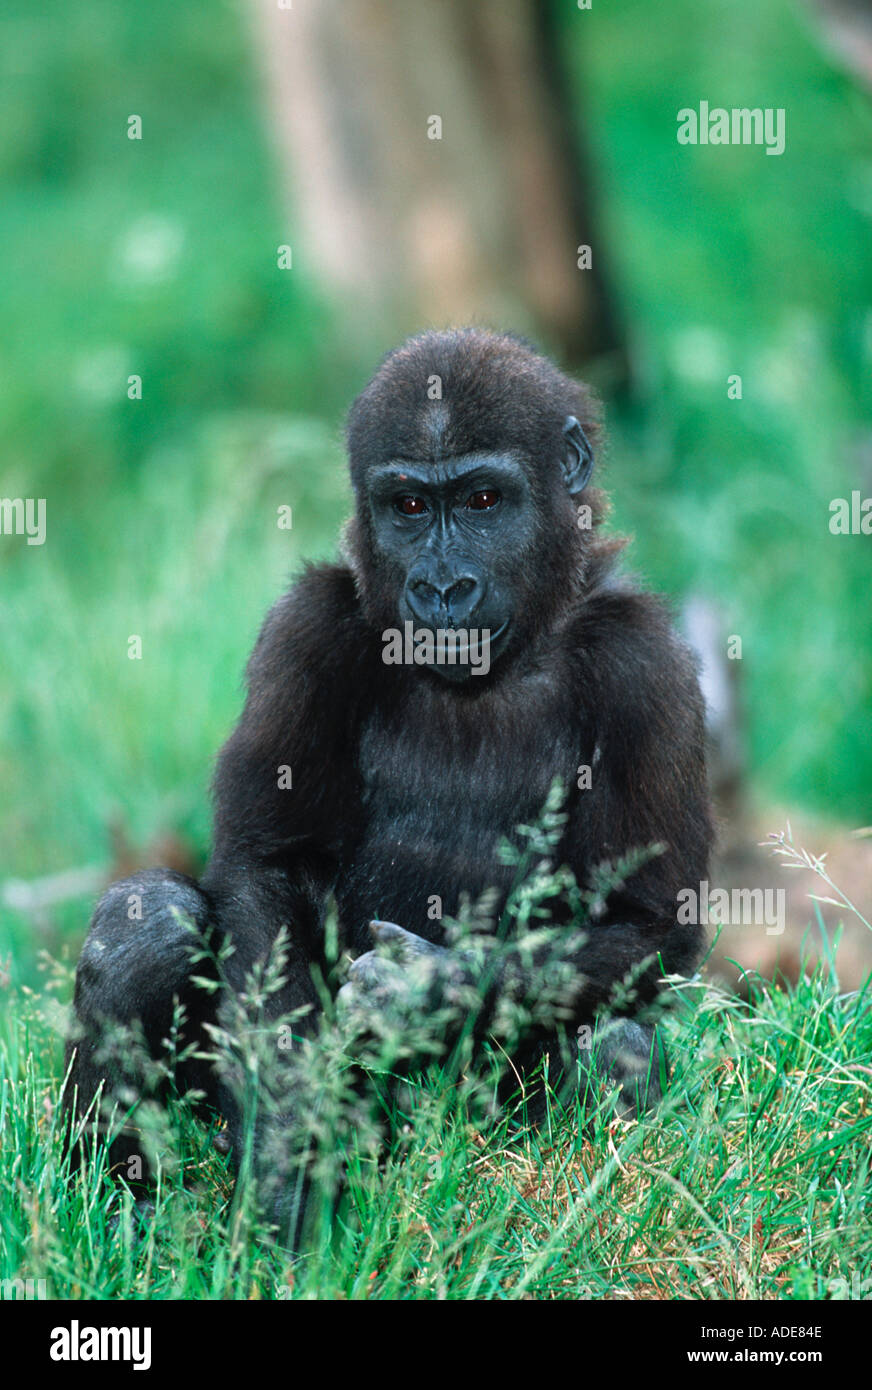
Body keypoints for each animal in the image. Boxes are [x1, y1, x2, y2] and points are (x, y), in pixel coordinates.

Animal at [64, 327, 713, 1244]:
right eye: (407, 507)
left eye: (483, 500)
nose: (442, 589)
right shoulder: (308, 628)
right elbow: (266, 871)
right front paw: (291, 1156)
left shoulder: (647, 664)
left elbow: (651, 923)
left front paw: (430, 990)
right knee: (147, 922)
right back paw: (117, 1202)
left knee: (613, 1037)